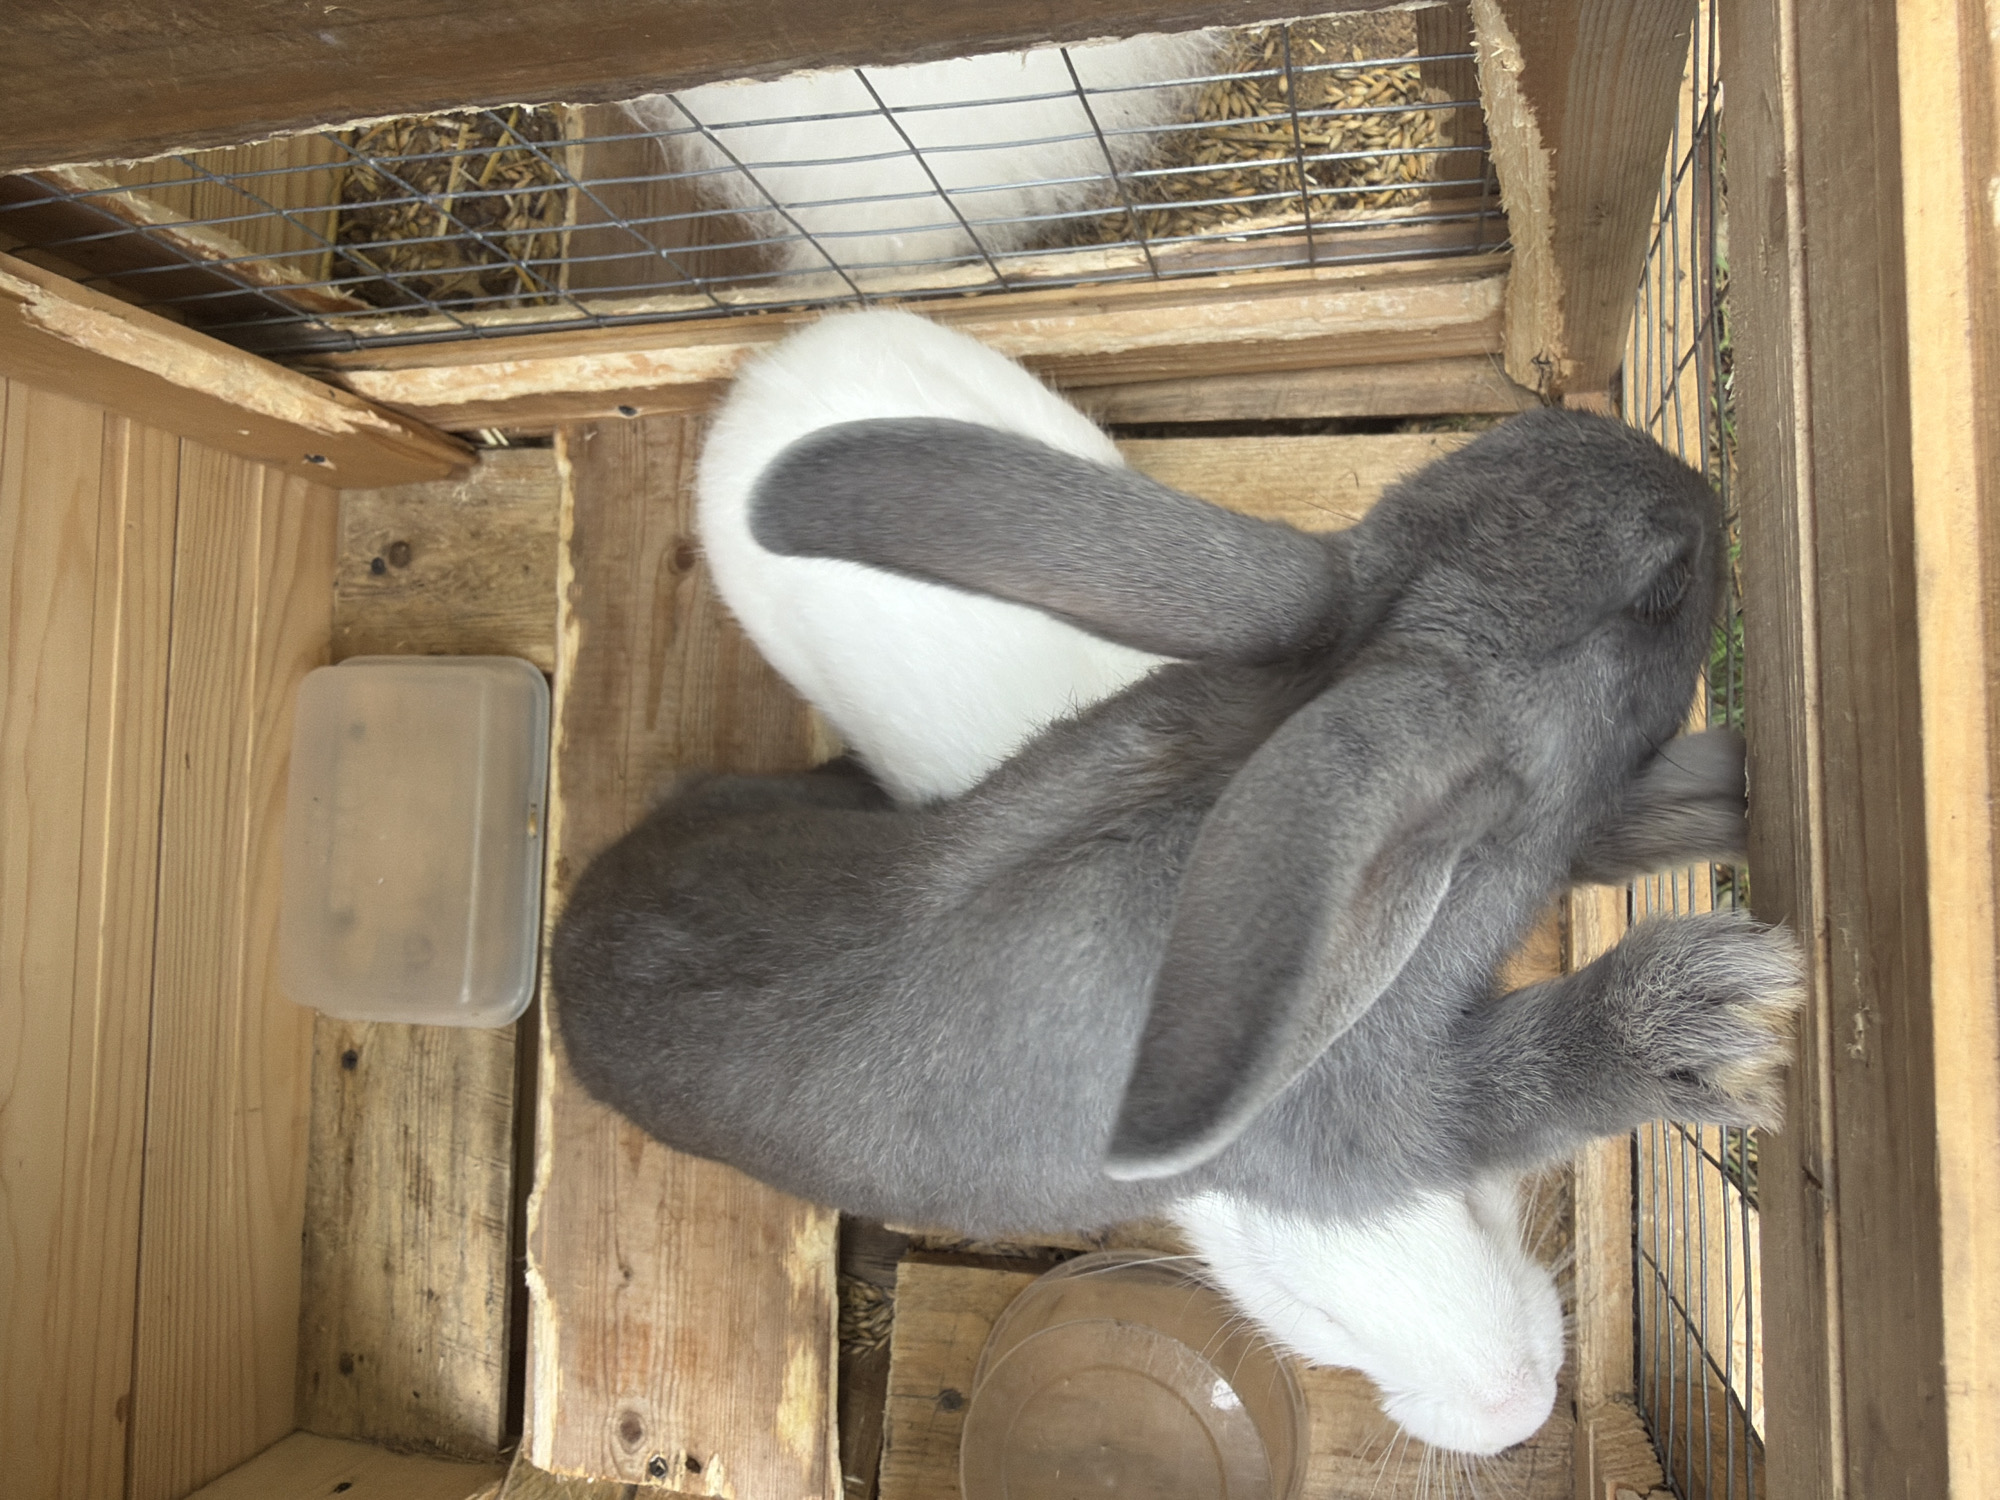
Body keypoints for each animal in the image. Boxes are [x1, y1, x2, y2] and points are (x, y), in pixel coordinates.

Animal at [553, 400, 1800, 1456]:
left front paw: (1726, 793)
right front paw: (1710, 1017)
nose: (1690, 484)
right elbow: (1512, 1087)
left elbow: (1616, 823)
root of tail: (566, 948)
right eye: (1661, 584)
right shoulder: (1366, 1128)